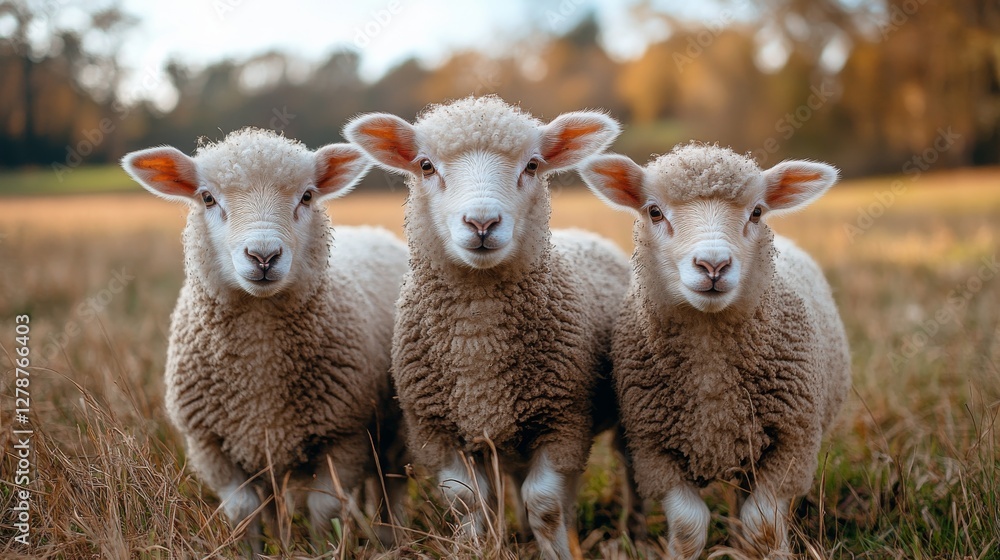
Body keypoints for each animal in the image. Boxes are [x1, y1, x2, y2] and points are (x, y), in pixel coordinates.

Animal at [120, 128, 409, 554]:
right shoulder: (210, 444)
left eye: (307, 196)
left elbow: (324, 509)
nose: (263, 256)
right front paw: (253, 552)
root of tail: (372, 231)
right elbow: (243, 511)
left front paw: (324, 551)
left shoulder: (343, 436)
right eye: (207, 197)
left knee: (390, 482)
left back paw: (390, 537)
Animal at [344, 96, 632, 560]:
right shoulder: (437, 429)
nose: (482, 224)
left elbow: (545, 504)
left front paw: (554, 552)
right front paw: (475, 547)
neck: (479, 346)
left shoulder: (563, 422)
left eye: (532, 165)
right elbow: (466, 500)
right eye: (426, 166)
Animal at [579, 143, 851, 558]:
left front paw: (774, 552)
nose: (713, 265)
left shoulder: (791, 447)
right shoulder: (654, 452)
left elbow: (763, 524)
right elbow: (689, 525)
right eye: (654, 211)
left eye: (757, 212)